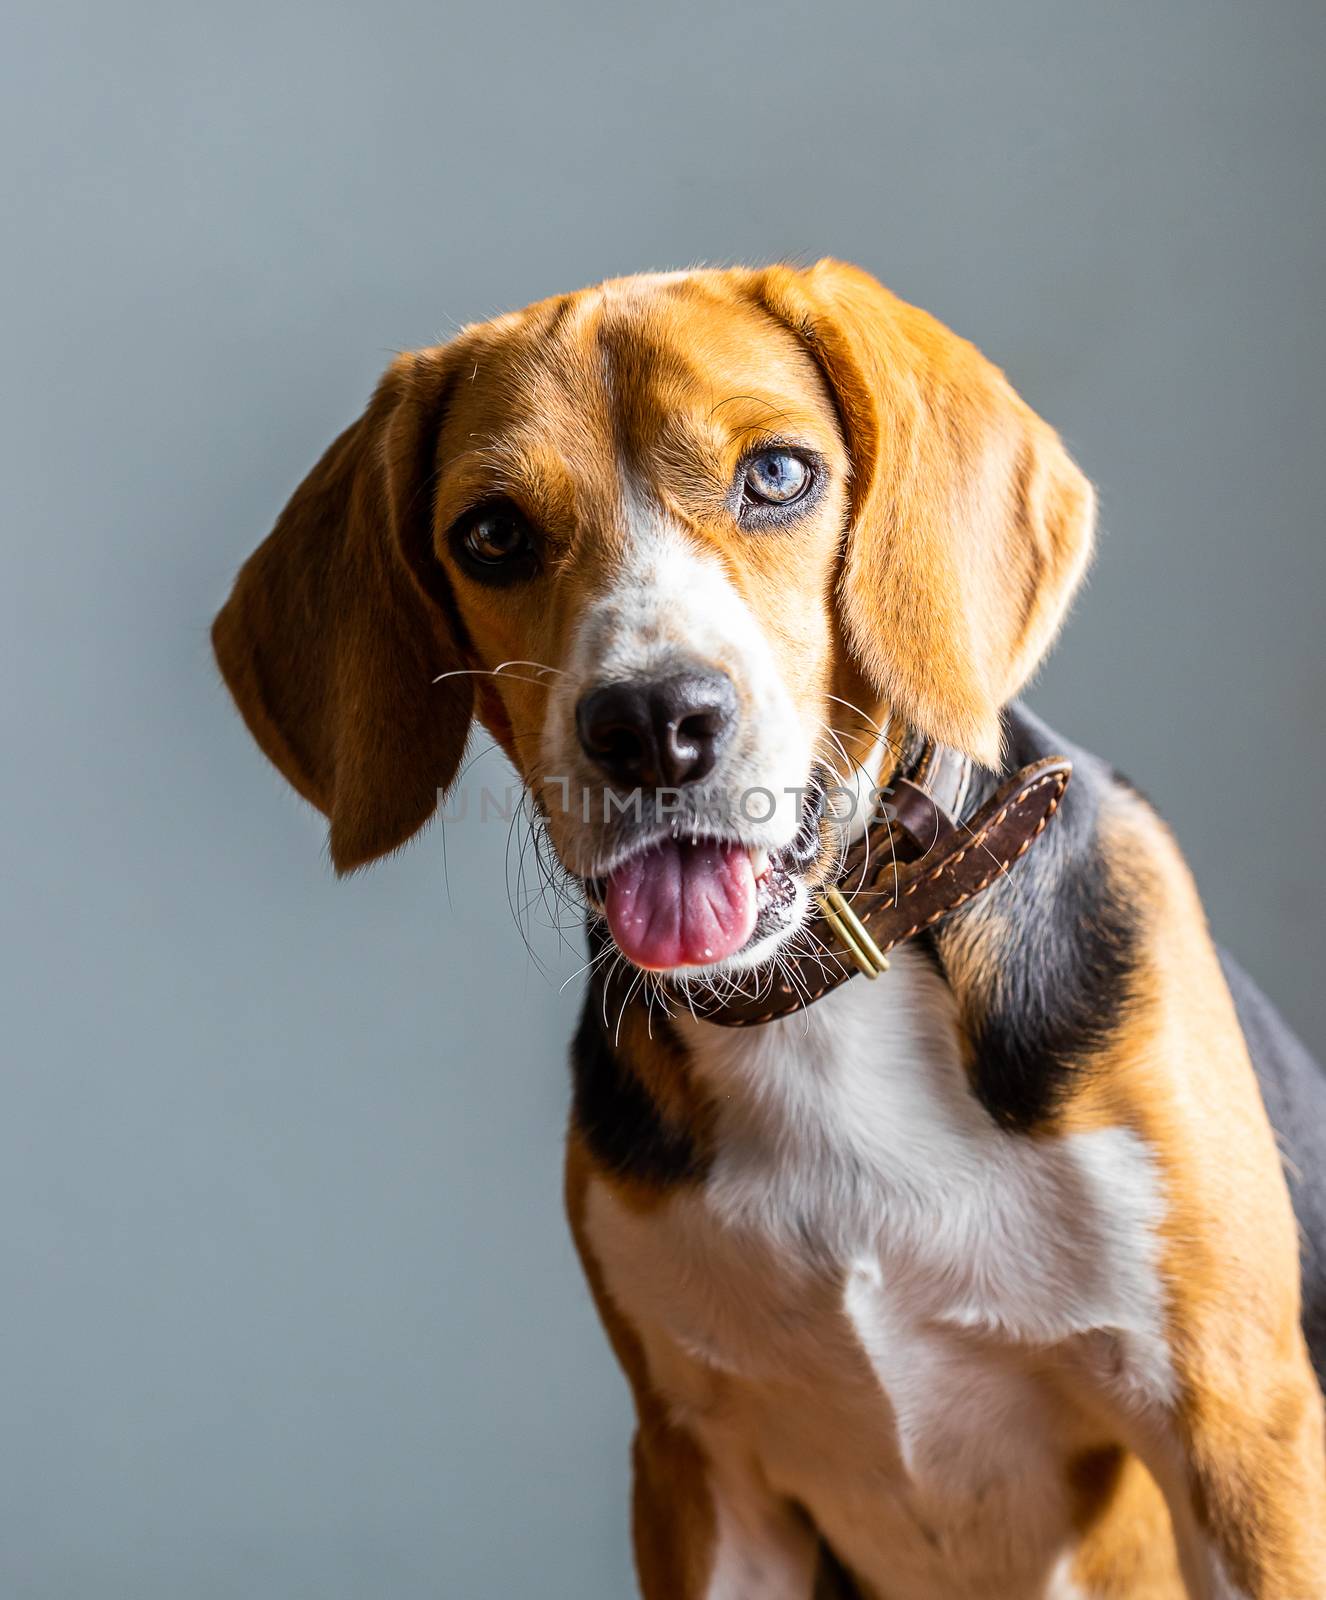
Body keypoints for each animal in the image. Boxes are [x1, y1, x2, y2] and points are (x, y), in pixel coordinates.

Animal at [212, 265, 1324, 1600]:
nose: (650, 723)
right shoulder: (701, 1471)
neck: (823, 998)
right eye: (491, 534)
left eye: (780, 474)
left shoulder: (1237, 1433)